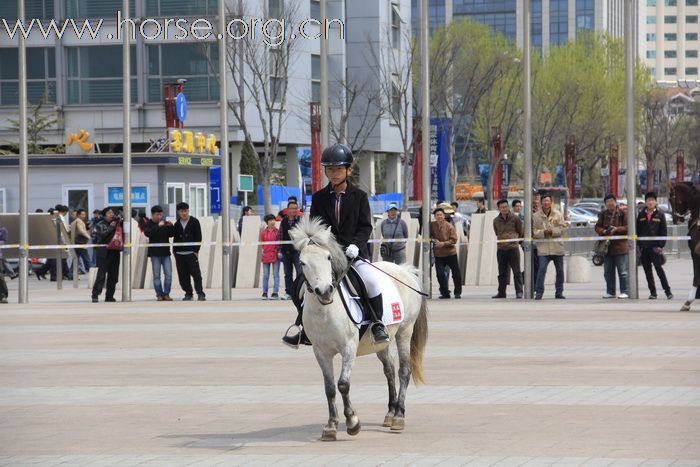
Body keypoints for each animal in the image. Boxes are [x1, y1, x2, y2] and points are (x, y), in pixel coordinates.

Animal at [288, 218, 430, 442]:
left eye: (328, 257)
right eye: (302, 262)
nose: (325, 291)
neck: (325, 310)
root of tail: (405, 270)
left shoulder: (348, 348)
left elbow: (343, 384)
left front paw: (352, 422)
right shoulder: (320, 351)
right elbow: (329, 388)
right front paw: (331, 426)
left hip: (404, 332)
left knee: (404, 371)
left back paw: (399, 416)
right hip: (382, 341)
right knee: (389, 370)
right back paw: (390, 413)